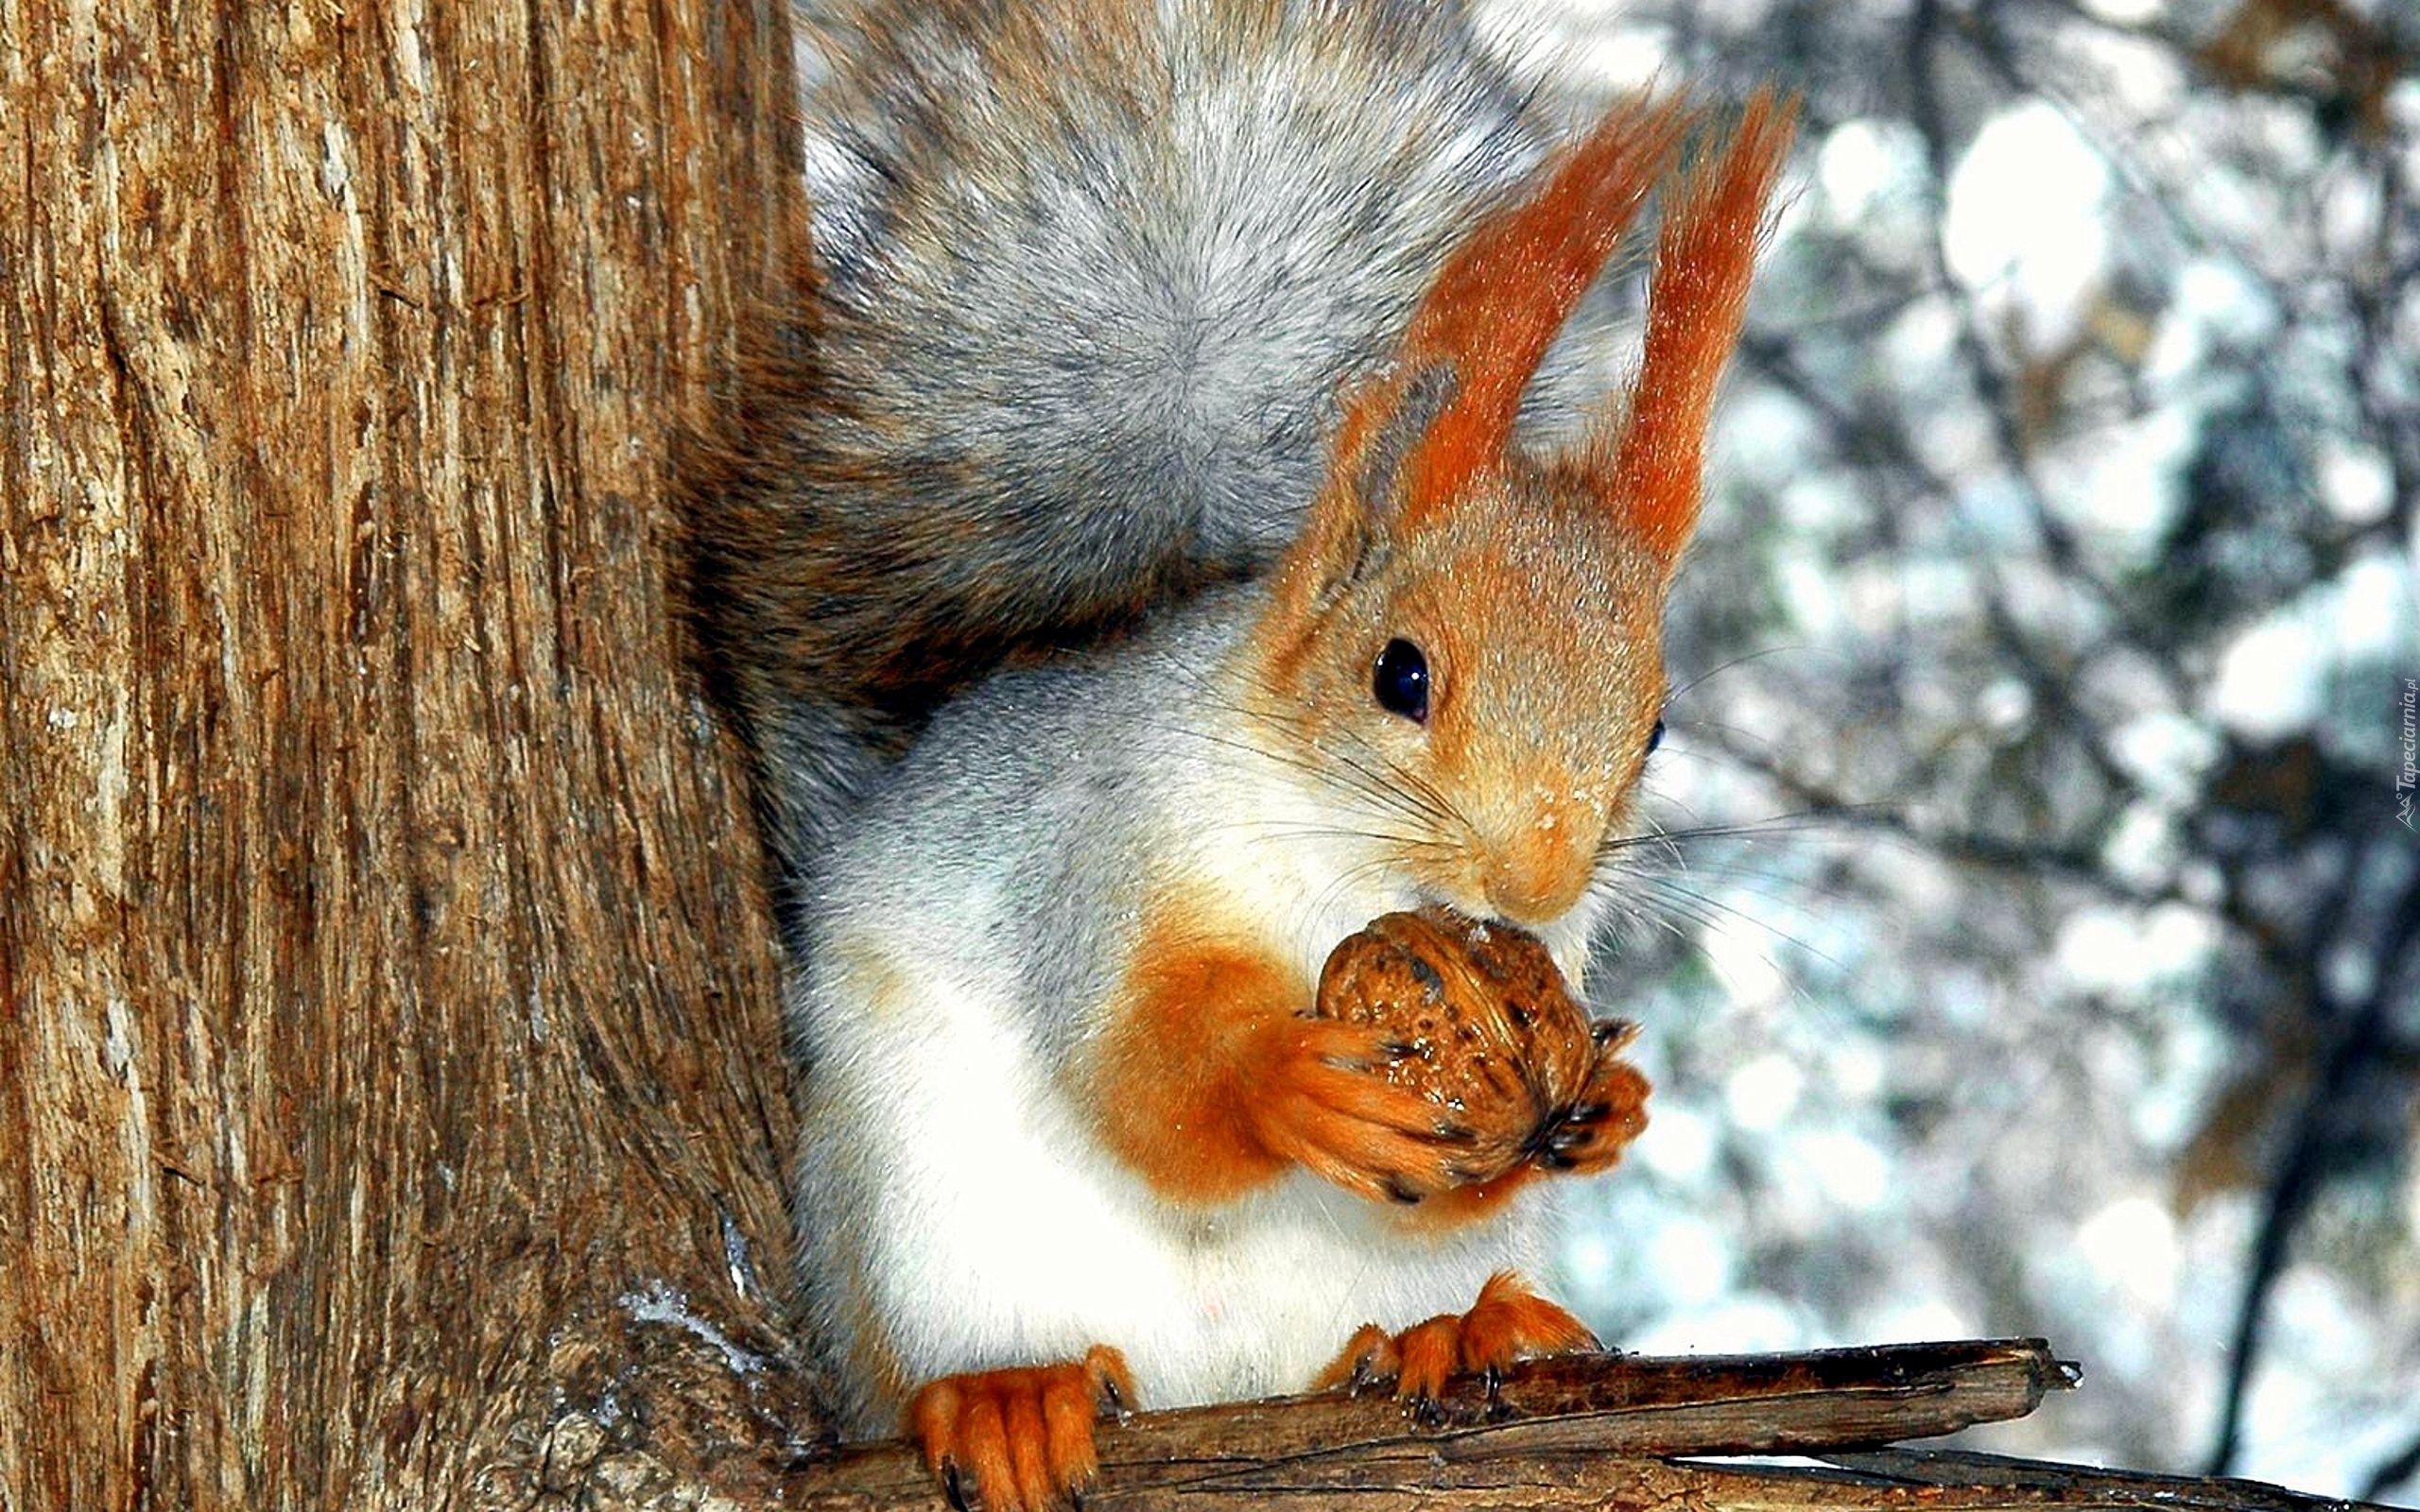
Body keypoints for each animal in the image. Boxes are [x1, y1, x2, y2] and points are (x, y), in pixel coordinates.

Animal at [682, 6, 1800, 1500]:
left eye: (1655, 724)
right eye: (1400, 673)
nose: (1539, 882)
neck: (1334, 857)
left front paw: (1608, 1099)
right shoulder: (1103, 851)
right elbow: (1135, 1072)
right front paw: (1286, 1082)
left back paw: (1461, 1330)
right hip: (920, 1222)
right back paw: (1007, 1396)